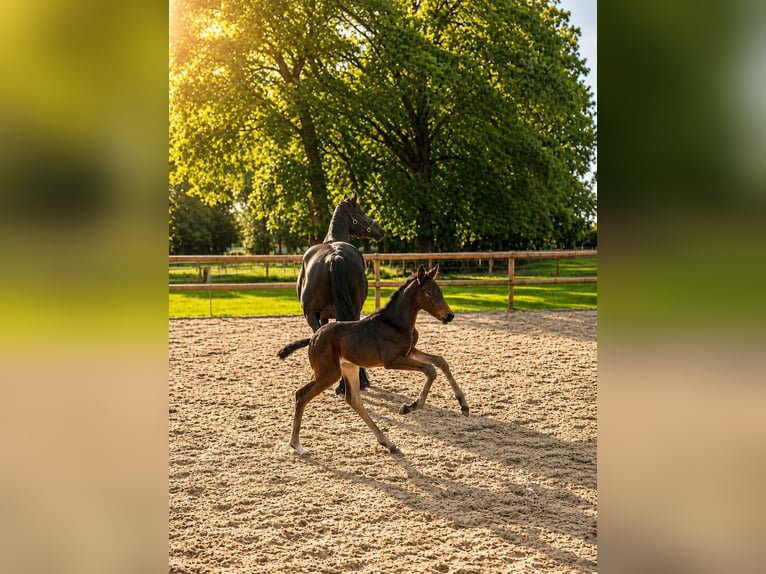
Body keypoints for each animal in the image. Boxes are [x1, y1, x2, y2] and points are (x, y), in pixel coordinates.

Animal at [278, 264, 470, 455]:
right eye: (429, 293)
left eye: (440, 291)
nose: (449, 315)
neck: (395, 323)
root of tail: (313, 338)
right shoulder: (392, 361)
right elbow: (430, 369)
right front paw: (409, 407)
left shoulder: (410, 352)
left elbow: (441, 361)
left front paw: (464, 406)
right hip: (329, 373)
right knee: (301, 395)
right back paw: (297, 444)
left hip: (349, 368)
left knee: (354, 400)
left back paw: (388, 443)